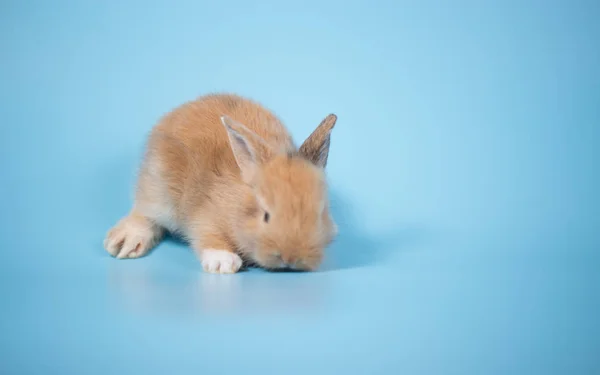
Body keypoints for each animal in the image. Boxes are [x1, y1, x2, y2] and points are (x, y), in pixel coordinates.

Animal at [103, 94, 338, 274]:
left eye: (319, 216)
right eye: (266, 216)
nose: (290, 258)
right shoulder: (204, 215)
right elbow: (207, 235)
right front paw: (223, 262)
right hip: (157, 191)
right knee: (144, 214)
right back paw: (125, 242)